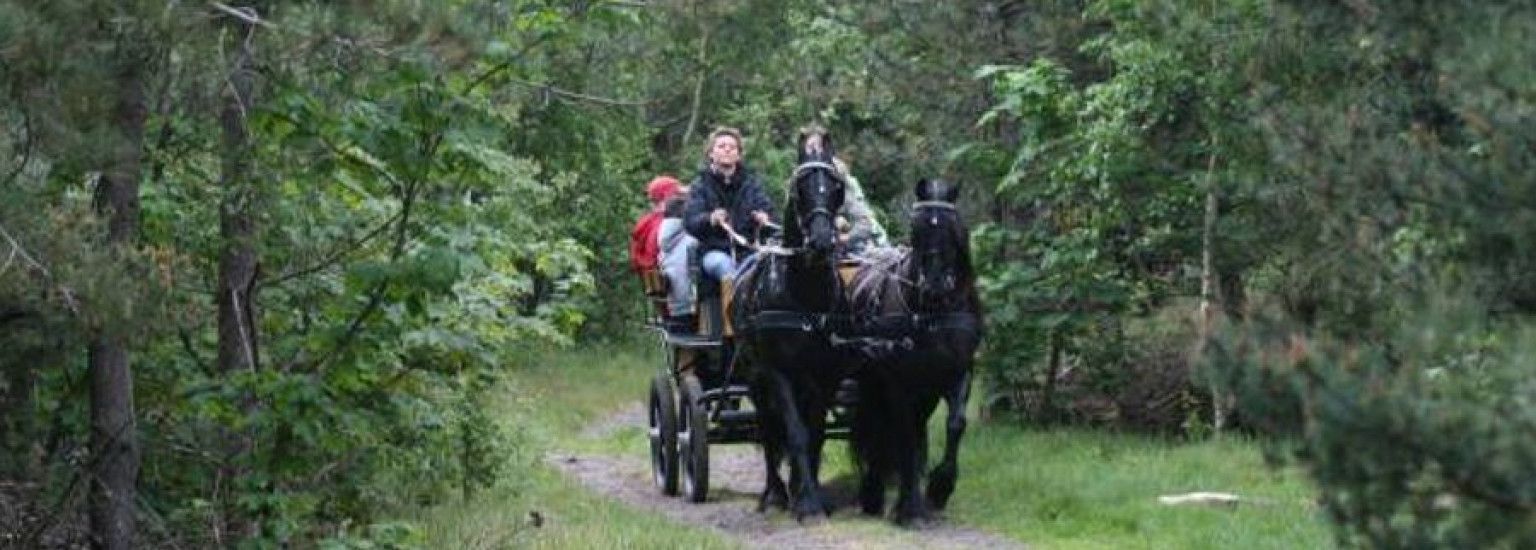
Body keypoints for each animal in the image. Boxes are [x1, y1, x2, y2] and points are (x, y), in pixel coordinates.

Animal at [728, 125, 847, 519]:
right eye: (800, 188)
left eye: (836, 187)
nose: (822, 242)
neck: (805, 292)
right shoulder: (778, 372)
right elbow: (793, 432)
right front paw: (805, 502)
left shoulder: (826, 373)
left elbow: (815, 434)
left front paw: (810, 493)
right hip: (755, 377)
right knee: (767, 428)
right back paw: (774, 493)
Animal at [847, 179, 976, 525]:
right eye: (916, 228)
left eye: (953, 227)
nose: (935, 283)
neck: (934, 312)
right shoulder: (899, 381)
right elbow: (902, 435)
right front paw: (909, 507)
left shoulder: (959, 372)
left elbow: (955, 424)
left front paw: (940, 487)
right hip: (873, 382)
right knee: (880, 425)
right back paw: (873, 493)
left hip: (925, 391)